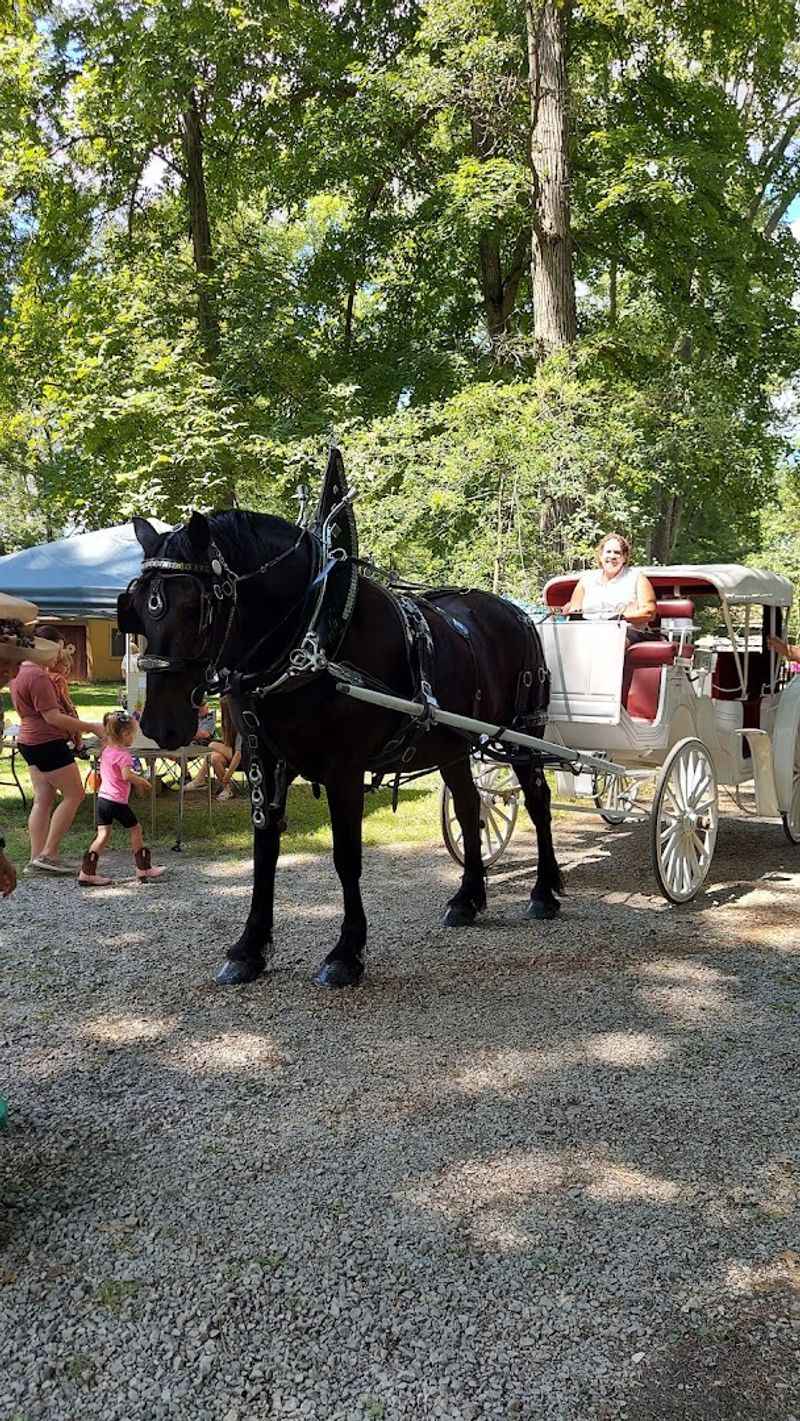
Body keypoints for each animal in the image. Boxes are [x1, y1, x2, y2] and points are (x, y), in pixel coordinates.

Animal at [120, 502, 564, 988]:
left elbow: (346, 856)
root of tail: (515, 612)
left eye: (194, 606)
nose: (160, 724)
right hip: (453, 745)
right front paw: (250, 948)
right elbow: (264, 851)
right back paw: (468, 898)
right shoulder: (264, 760)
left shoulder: (344, 769)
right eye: (137, 607)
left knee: (538, 801)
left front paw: (346, 952)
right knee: (469, 808)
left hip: (524, 732)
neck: (311, 634)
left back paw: (544, 891)